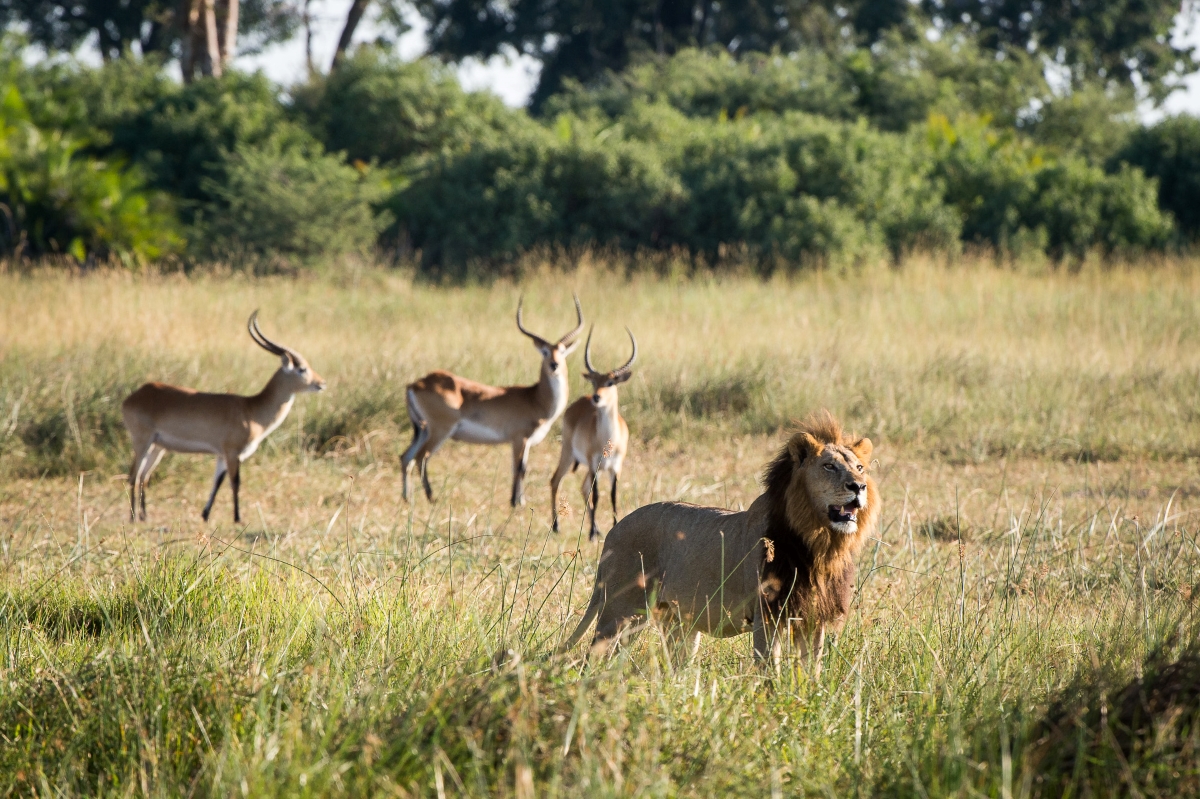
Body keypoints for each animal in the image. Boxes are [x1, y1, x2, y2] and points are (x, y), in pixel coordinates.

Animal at [120, 311, 326, 523]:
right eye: (302, 369)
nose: (321, 383)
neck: (251, 410)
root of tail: (133, 396)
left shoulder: (221, 455)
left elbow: (217, 483)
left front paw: (205, 515)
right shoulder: (233, 453)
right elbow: (235, 483)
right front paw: (237, 518)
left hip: (157, 447)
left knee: (143, 476)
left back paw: (144, 516)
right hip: (143, 442)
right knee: (133, 475)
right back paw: (133, 518)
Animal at [403, 292, 585, 503]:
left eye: (562, 351)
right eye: (545, 351)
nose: (554, 365)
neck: (536, 399)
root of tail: (416, 384)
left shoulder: (525, 443)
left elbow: (520, 469)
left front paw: (520, 501)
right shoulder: (519, 439)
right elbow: (519, 470)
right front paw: (517, 503)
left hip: (422, 431)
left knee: (405, 458)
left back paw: (408, 499)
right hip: (439, 430)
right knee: (421, 458)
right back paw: (431, 498)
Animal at [549, 326, 638, 542]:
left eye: (611, 382)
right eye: (594, 382)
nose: (596, 397)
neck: (608, 439)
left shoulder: (616, 467)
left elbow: (613, 497)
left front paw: (610, 526)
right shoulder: (593, 463)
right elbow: (596, 496)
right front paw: (590, 535)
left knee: (582, 487)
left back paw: (596, 528)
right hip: (568, 454)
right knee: (556, 481)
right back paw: (557, 526)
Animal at [554, 410, 883, 667]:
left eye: (859, 467)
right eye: (829, 466)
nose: (859, 486)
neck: (821, 544)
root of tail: (614, 530)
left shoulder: (815, 618)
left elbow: (810, 670)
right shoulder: (767, 616)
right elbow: (769, 670)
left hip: (675, 623)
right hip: (619, 612)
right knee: (592, 658)